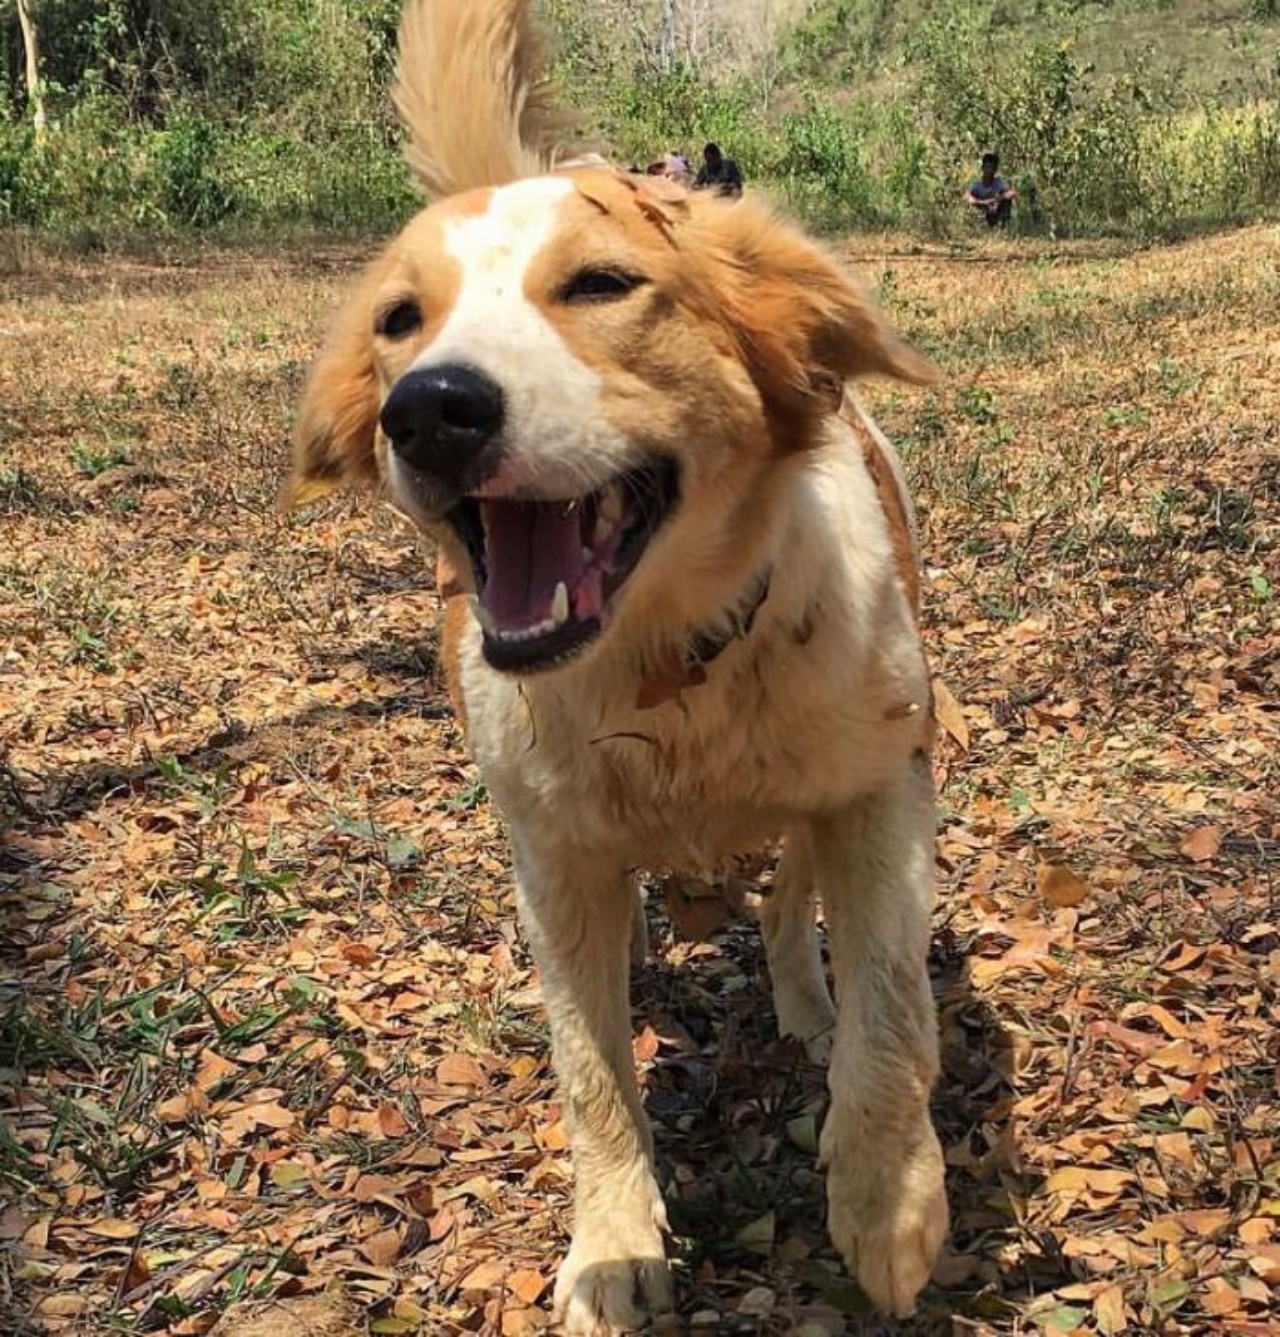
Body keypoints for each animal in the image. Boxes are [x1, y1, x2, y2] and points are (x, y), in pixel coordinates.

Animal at [290, 2, 946, 1326]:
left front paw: (887, 1196)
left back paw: (802, 1001)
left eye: (599, 284)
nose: (429, 408)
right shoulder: (552, 855)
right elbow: (590, 1070)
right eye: (399, 320)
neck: (665, 662)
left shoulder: (878, 787)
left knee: (788, 905)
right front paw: (611, 1243)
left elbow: (891, 997)